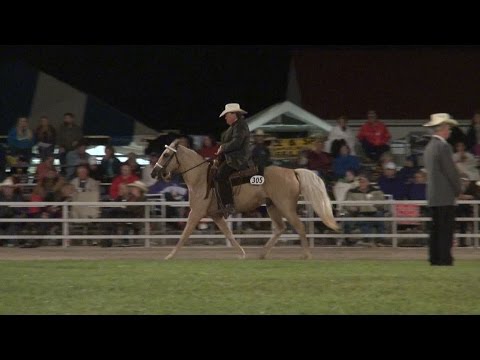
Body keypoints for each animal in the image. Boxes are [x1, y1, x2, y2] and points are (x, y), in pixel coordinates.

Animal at [153, 139, 338, 260]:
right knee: (280, 228)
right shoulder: (215, 215)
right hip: (272, 206)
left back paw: (306, 255)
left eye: (166, 154)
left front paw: (170, 255)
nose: (154, 172)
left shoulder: (196, 213)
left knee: (299, 226)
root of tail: (292, 171)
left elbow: (184, 234)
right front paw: (242, 253)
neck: (200, 178)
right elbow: (228, 234)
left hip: (286, 207)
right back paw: (262, 254)